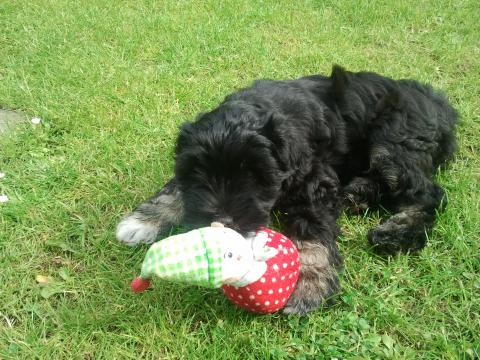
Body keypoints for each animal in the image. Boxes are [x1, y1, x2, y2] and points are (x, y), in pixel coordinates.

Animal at [116, 66, 458, 314]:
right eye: (199, 173)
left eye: (255, 174)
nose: (223, 222)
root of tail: (440, 105)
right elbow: (174, 188)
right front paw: (142, 221)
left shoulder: (315, 183)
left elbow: (310, 233)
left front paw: (308, 285)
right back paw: (357, 194)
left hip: (393, 140)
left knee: (428, 193)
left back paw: (395, 232)